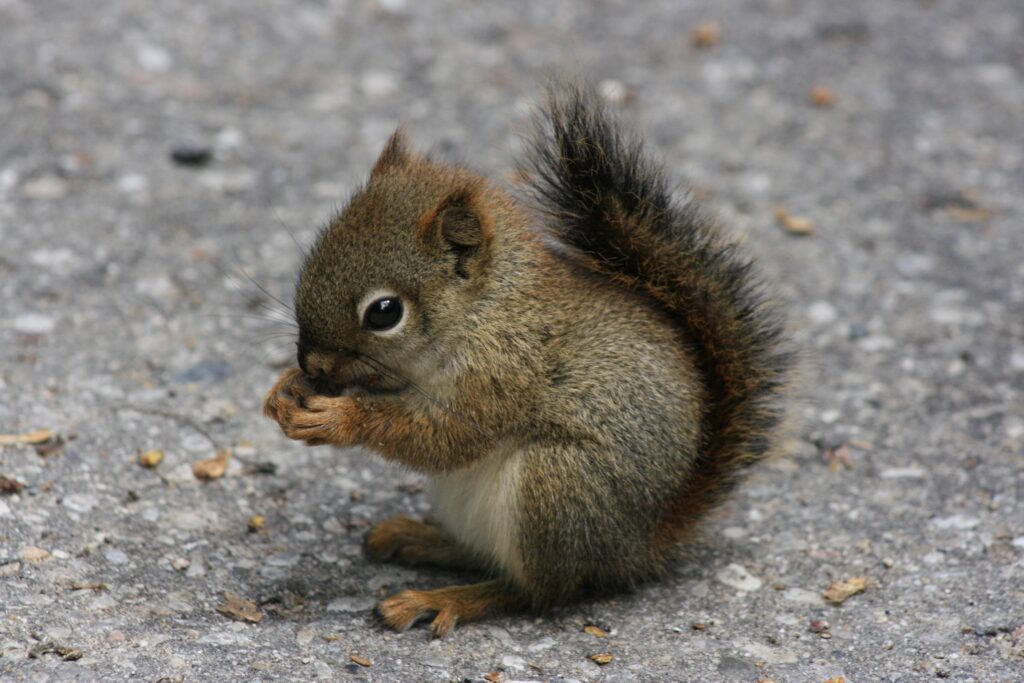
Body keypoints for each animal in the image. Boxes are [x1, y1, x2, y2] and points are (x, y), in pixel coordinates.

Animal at [262, 82, 793, 637]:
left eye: (384, 312)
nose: (313, 365)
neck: (484, 310)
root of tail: (638, 546)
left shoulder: (502, 373)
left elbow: (445, 437)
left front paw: (338, 418)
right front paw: (284, 390)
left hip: (556, 487)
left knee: (535, 591)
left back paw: (444, 598)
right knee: (485, 557)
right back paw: (421, 539)